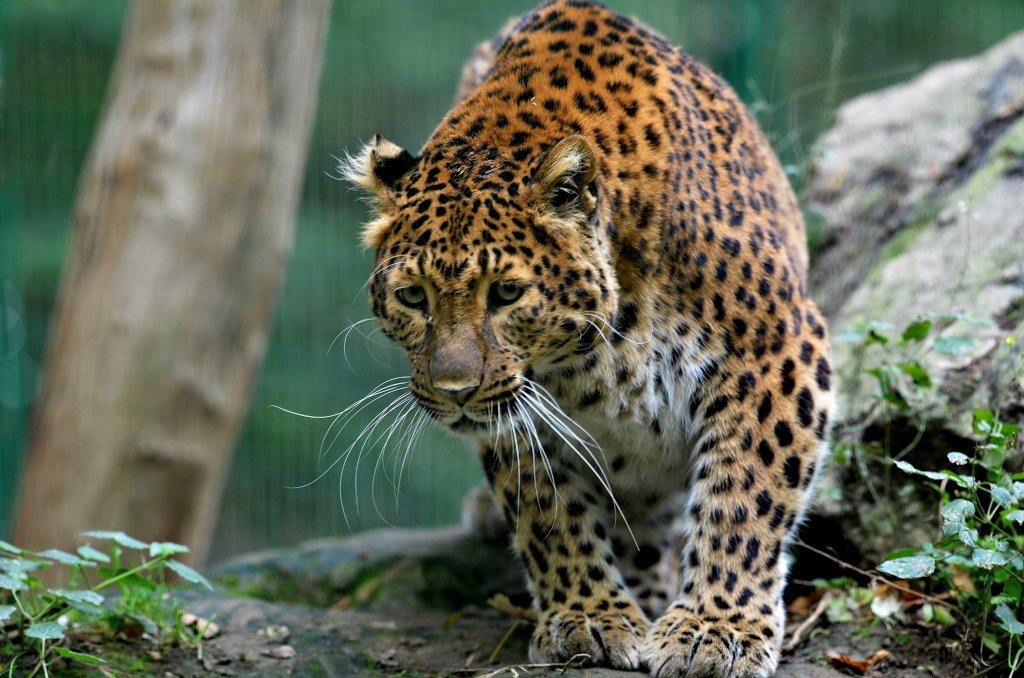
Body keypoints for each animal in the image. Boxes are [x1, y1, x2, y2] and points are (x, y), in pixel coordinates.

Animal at [342, 1, 833, 675]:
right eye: (413, 297)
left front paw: (714, 629)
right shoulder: (525, 408)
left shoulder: (772, 349)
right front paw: (588, 616)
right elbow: (549, 513)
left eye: (506, 294)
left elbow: (746, 494)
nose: (455, 390)